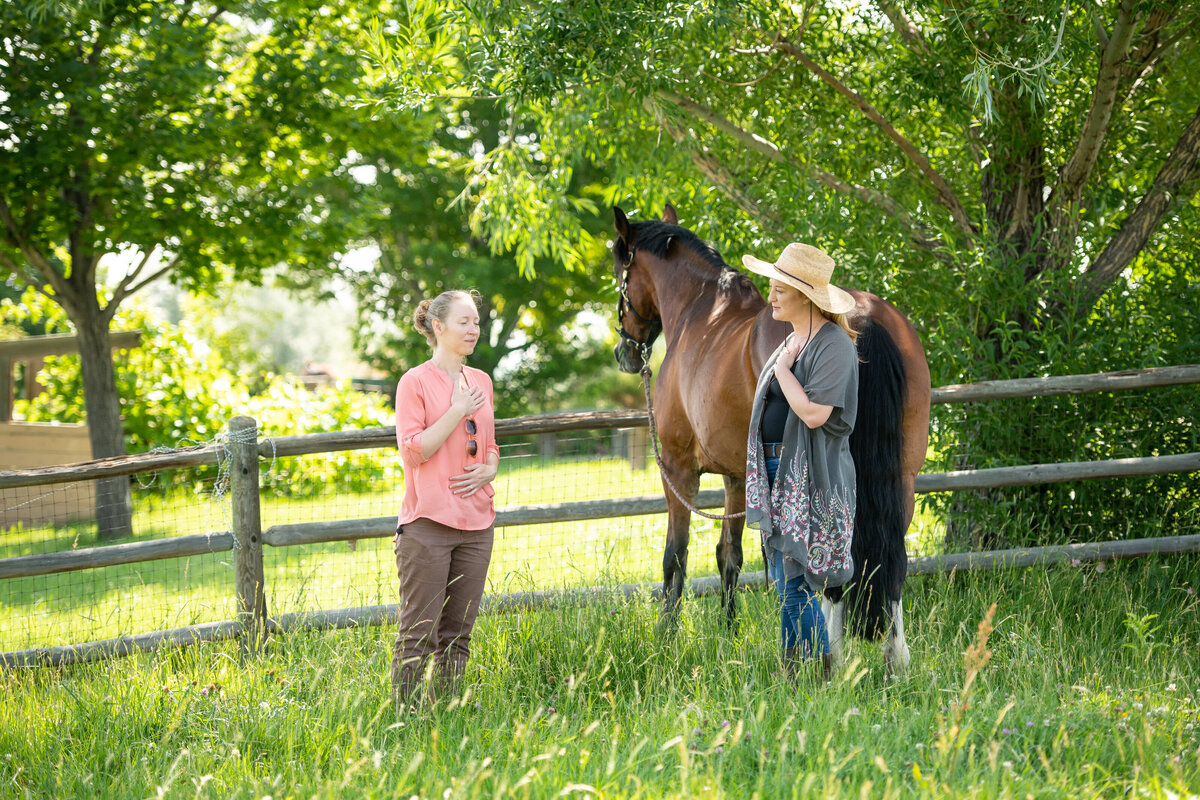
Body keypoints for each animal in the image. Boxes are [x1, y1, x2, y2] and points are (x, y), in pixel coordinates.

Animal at [614, 203, 931, 671]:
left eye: (619, 270)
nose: (624, 353)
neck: (699, 315)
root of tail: (863, 314)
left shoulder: (678, 470)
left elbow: (676, 556)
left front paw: (665, 638)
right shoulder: (737, 475)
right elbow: (729, 555)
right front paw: (728, 634)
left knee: (835, 565)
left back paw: (832, 657)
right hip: (902, 478)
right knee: (893, 560)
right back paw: (895, 659)